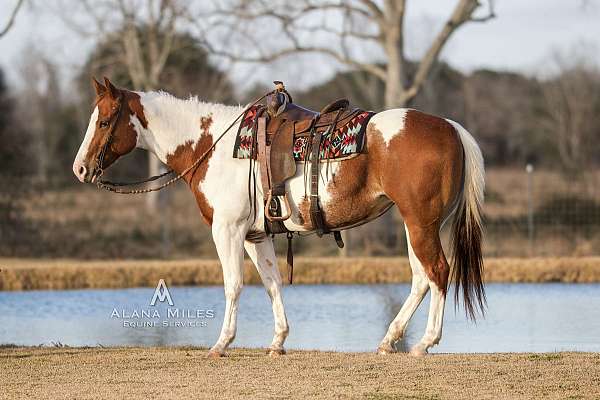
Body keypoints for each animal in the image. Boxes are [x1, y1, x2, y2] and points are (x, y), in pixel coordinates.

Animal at [72, 77, 486, 356]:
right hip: (423, 224)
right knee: (421, 277)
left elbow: (233, 285)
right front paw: (278, 340)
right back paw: (390, 339)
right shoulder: (256, 235)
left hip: (421, 223)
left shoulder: (227, 230)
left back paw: (424, 343)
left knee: (437, 272)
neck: (213, 147)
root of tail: (451, 128)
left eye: (105, 121)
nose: (80, 168)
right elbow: (272, 283)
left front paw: (221, 343)